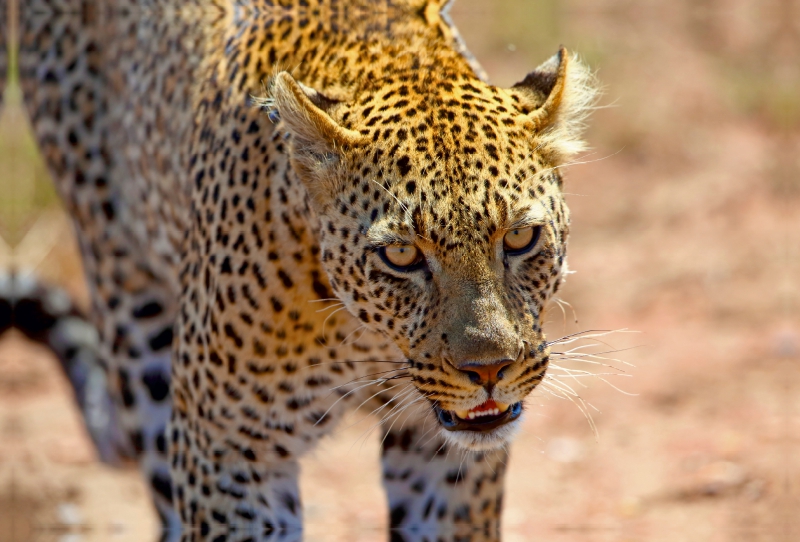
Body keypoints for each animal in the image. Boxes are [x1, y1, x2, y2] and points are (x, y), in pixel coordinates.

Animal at [17, 0, 592, 540]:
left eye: (519, 238)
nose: (490, 371)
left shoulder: (441, 455)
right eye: (401, 255)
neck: (368, 338)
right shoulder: (227, 450)